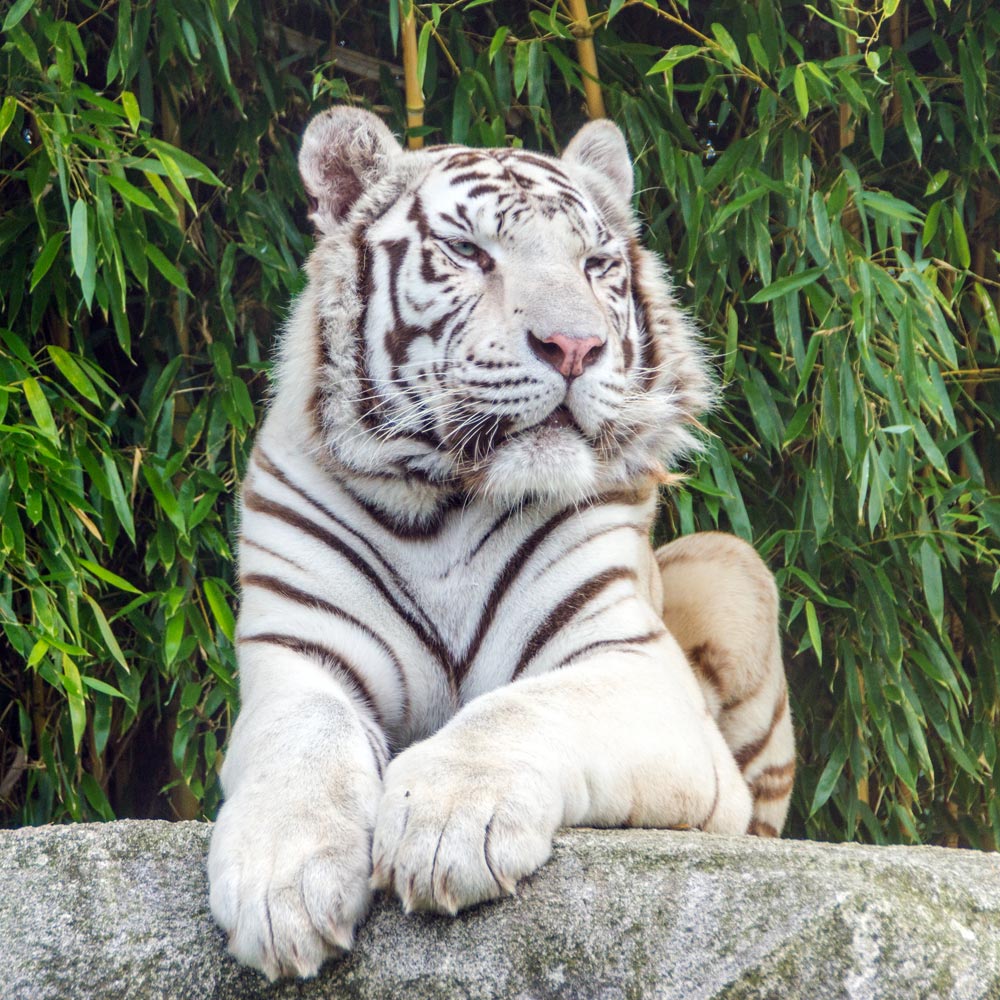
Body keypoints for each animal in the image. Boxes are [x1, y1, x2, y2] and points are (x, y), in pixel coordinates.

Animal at [209, 105, 796, 980]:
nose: (574, 347)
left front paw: (448, 822)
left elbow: (518, 710)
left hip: (729, 564)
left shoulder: (628, 660)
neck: (439, 501)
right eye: (468, 252)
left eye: (595, 264)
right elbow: (303, 741)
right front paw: (281, 882)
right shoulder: (300, 654)